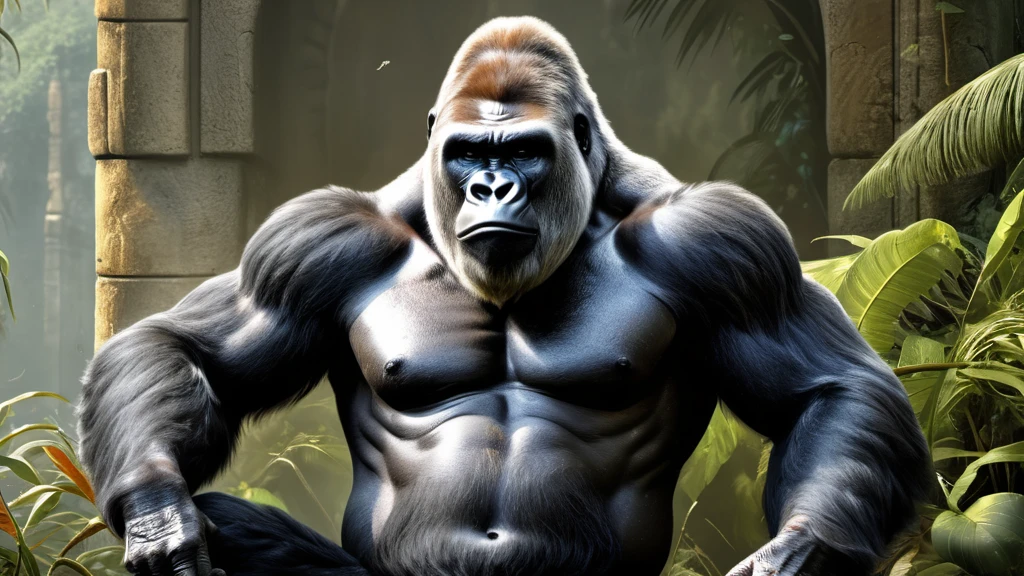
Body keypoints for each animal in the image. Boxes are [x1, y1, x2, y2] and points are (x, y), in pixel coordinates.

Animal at [77, 16, 932, 576]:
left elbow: (829, 386)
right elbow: (184, 347)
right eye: (466, 153)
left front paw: (806, 549)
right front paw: (159, 513)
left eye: (523, 149)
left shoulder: (722, 239)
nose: (492, 186)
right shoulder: (312, 240)